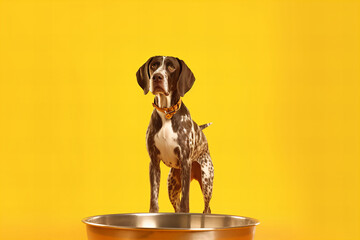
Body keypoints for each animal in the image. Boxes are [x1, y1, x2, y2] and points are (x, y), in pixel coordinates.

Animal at [136, 56, 212, 214]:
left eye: (171, 67)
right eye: (153, 66)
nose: (157, 77)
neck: (167, 112)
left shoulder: (185, 161)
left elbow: (185, 203)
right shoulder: (154, 163)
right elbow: (154, 200)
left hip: (207, 180)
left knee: (206, 209)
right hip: (172, 185)